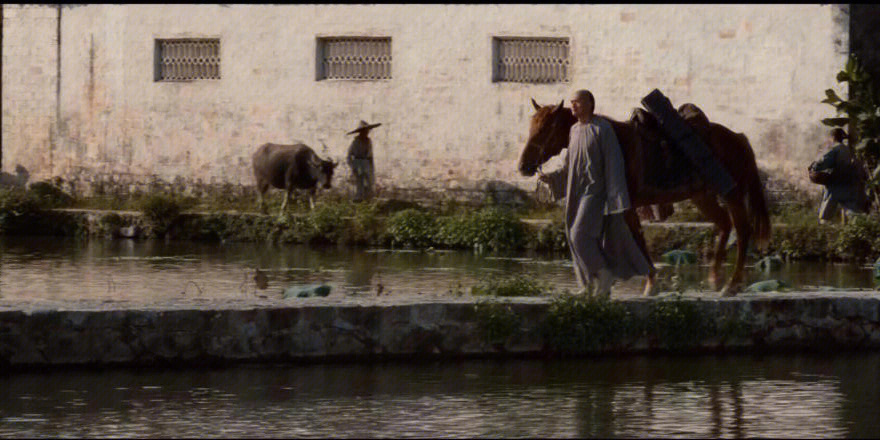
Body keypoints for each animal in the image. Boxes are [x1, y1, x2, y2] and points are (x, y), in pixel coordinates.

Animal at [520, 99, 772, 296]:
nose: (523, 166)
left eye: (544, 129)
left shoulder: (628, 205)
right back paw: (715, 277)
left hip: (732, 194)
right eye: (531, 127)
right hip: (702, 197)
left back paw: (732, 284)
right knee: (725, 224)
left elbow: (638, 240)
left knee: (742, 231)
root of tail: (739, 138)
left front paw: (650, 283)